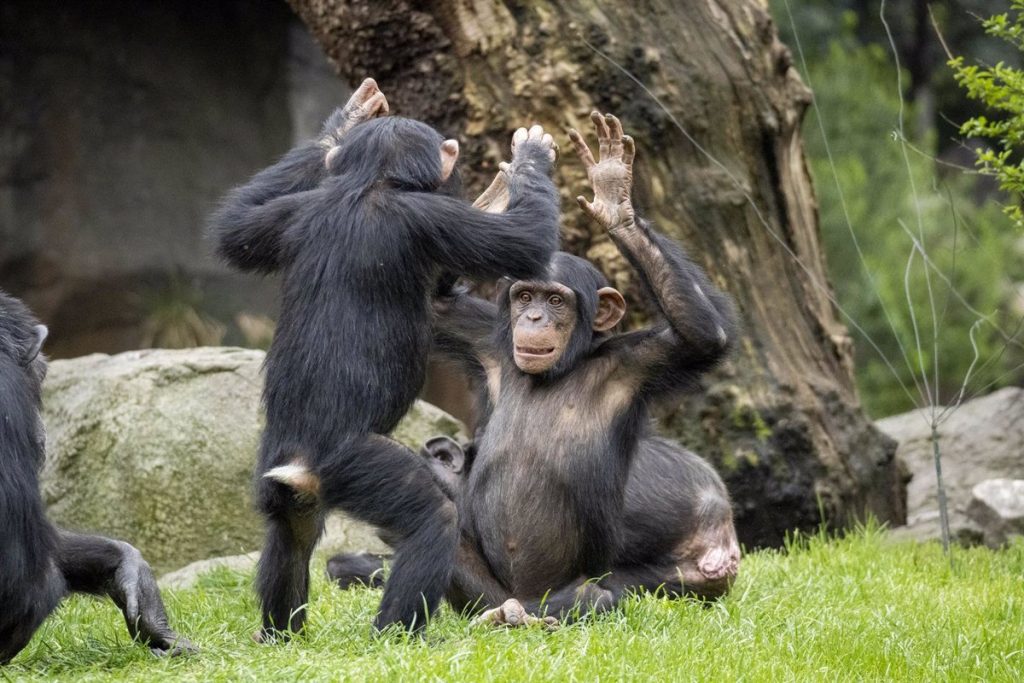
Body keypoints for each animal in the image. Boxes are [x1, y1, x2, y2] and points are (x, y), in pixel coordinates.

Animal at [207, 80, 561, 643]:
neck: (369, 183)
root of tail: (298, 464)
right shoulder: (431, 218)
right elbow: (523, 243)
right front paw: (530, 156)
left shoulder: (290, 213)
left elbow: (234, 231)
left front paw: (346, 121)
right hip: (354, 465)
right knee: (431, 518)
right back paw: (400, 634)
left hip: (279, 477)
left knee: (292, 534)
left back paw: (282, 635)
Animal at [325, 111, 737, 626]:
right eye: (524, 296)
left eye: (555, 300)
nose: (534, 318)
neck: (558, 370)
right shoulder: (485, 339)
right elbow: (436, 306)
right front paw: (501, 189)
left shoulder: (639, 363)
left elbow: (699, 335)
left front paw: (615, 201)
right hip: (485, 589)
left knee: (594, 597)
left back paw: (527, 615)